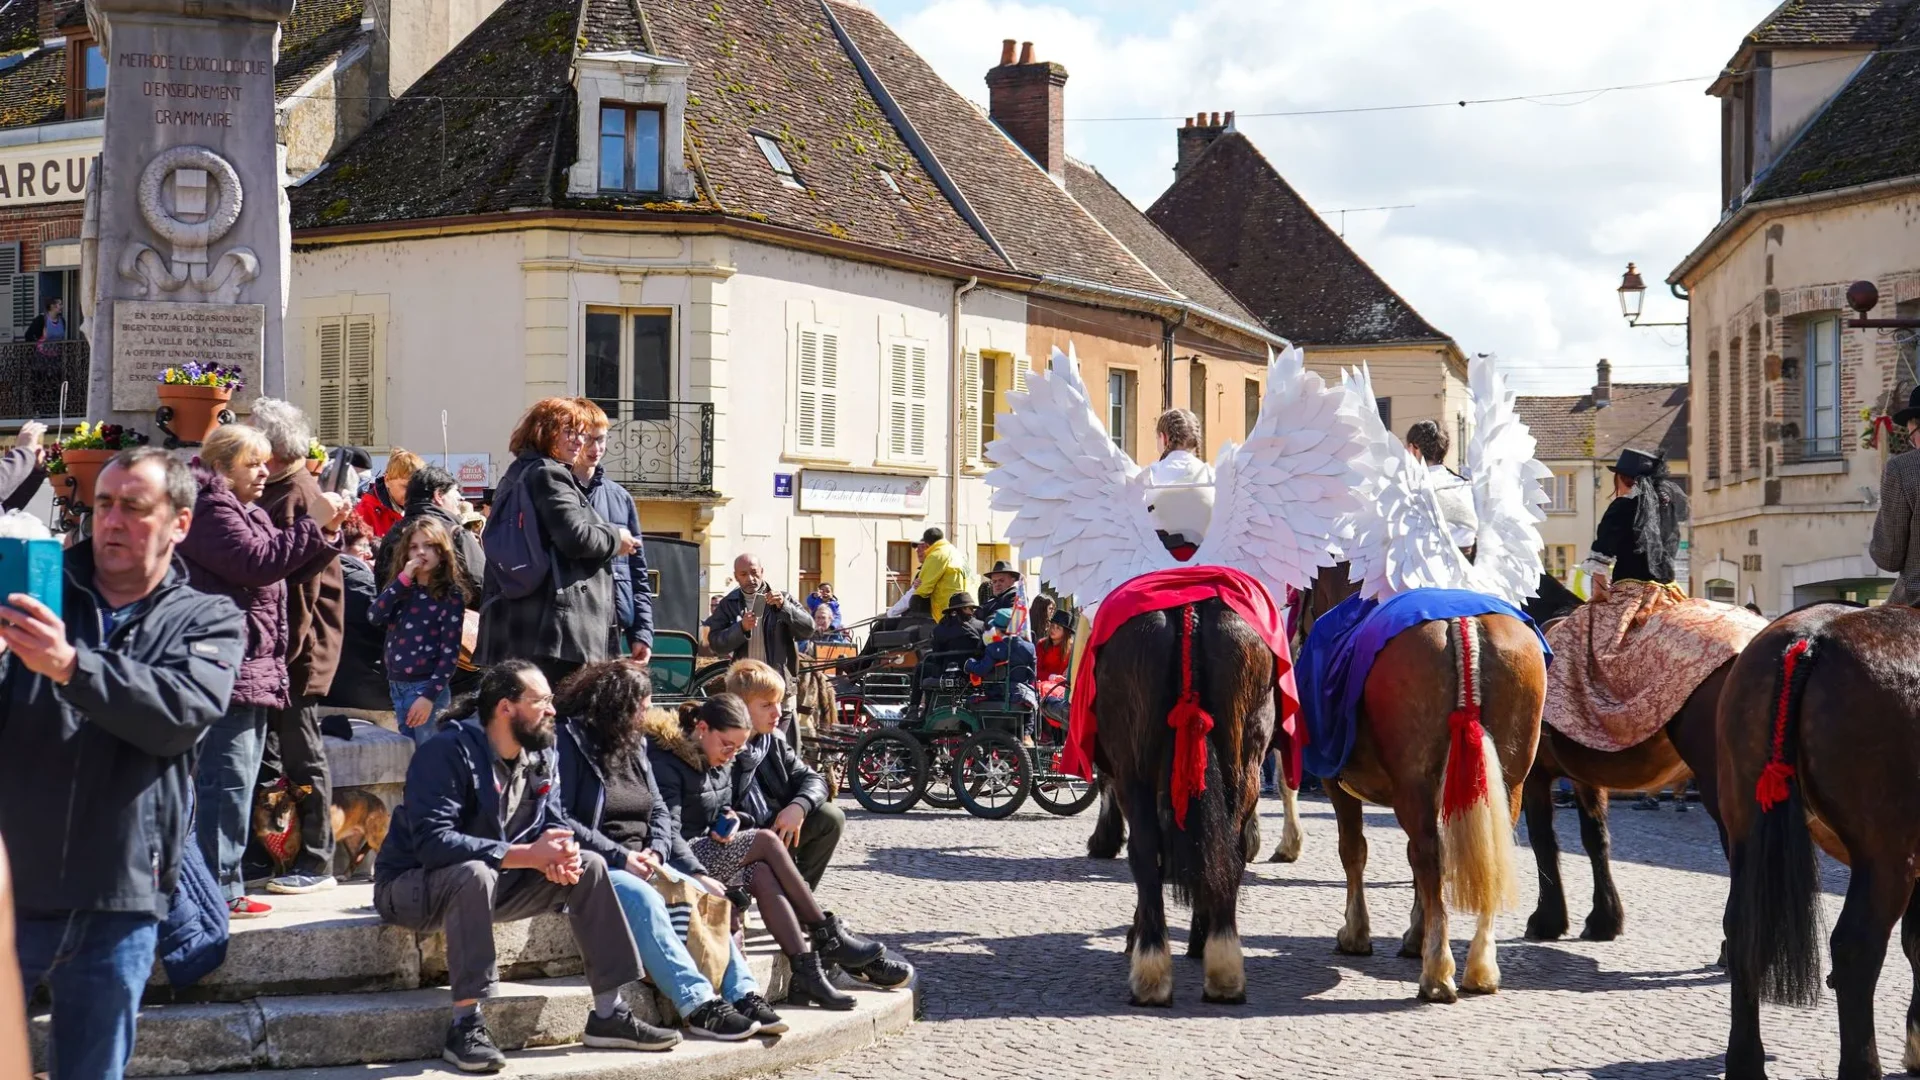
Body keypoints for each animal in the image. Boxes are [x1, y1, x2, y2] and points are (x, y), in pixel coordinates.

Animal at [253, 776, 391, 880]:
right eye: (268, 807)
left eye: (286, 807)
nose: (280, 828)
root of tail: (379, 802)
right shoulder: (269, 849)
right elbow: (277, 863)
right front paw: (277, 875)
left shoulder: (296, 849)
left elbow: (292, 863)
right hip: (351, 842)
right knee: (356, 858)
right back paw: (345, 876)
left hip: (375, 839)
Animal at [1090, 595, 1282, 999]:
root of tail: (1191, 610)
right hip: (1245, 764)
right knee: (1230, 851)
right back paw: (1223, 966)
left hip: (1134, 770)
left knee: (1146, 854)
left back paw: (1152, 966)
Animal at [1290, 564, 1543, 999]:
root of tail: (1463, 624)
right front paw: (1415, 934)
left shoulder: (1335, 784)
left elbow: (1354, 850)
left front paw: (1357, 933)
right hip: (1508, 784)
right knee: (1482, 855)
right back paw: (1480, 966)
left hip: (1414, 784)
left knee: (1429, 855)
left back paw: (1438, 971)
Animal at [1512, 572, 1743, 941]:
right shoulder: (1584, 775)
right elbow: (1595, 838)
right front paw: (1604, 918)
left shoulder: (1534, 774)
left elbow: (1542, 837)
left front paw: (1547, 919)